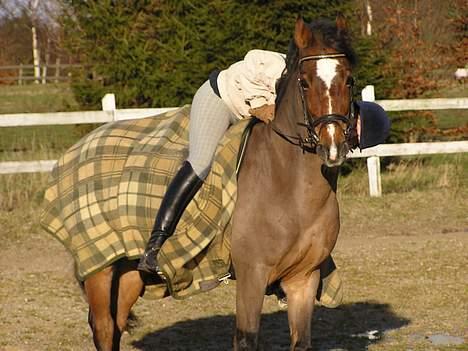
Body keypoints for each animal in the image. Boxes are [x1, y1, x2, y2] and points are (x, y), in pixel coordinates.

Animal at [84, 15, 356, 351]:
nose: (333, 146)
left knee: (117, 323)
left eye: (349, 80)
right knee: (105, 327)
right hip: (100, 269)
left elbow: (301, 341)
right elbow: (246, 339)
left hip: (129, 271)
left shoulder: (304, 279)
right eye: (304, 83)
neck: (290, 190)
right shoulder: (252, 275)